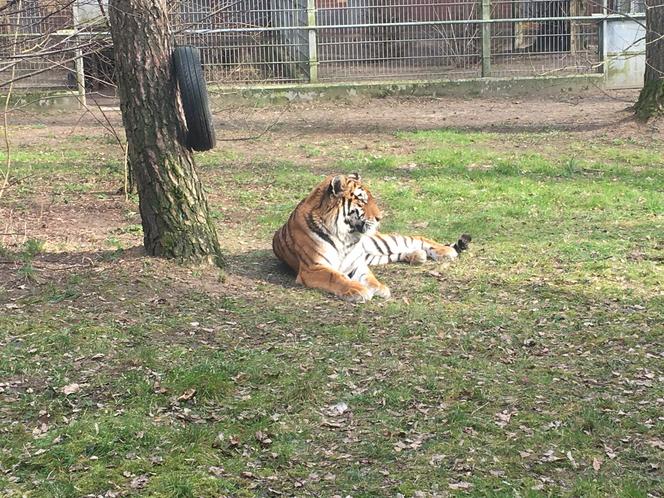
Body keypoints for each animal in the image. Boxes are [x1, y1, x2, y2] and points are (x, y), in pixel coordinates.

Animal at [272, 173, 472, 302]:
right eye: (362, 201)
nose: (380, 217)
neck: (346, 237)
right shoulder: (313, 267)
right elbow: (336, 277)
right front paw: (358, 290)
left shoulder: (357, 263)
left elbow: (369, 277)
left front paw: (379, 288)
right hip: (373, 254)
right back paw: (416, 256)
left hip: (380, 242)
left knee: (418, 237)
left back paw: (444, 251)